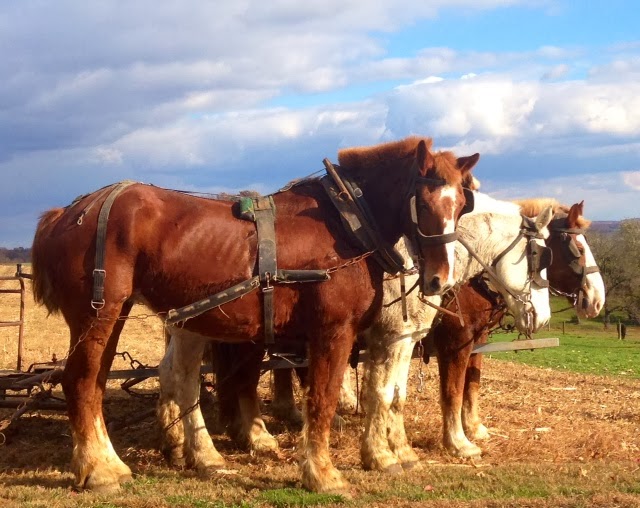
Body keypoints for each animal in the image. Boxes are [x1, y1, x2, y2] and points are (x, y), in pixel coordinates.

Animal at [31, 136, 478, 494]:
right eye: (423, 201)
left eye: (460, 205)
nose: (439, 279)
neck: (347, 224)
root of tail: (69, 213)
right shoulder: (334, 332)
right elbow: (324, 400)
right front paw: (323, 474)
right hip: (98, 314)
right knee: (82, 381)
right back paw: (98, 471)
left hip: (124, 315)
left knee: (114, 381)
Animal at [158, 189, 555, 475]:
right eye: (541, 255)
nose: (543, 317)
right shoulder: (412, 338)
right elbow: (415, 393)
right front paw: (446, 445)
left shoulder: (402, 339)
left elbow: (395, 394)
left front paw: (398, 449)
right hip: (211, 333)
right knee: (207, 379)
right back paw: (230, 442)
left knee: (172, 373)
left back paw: (177, 442)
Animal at [432, 198, 605, 458]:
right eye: (579, 250)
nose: (598, 300)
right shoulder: (454, 341)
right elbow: (453, 390)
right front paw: (458, 442)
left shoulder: (477, 340)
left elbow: (471, 384)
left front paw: (474, 428)